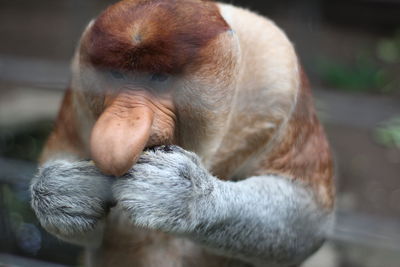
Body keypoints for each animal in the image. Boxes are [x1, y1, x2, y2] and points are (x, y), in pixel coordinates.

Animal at [29, 0, 334, 267]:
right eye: (115, 75)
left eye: (159, 78)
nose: (117, 138)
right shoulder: (80, 88)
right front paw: (65, 192)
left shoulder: (277, 72)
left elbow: (309, 216)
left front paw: (178, 194)